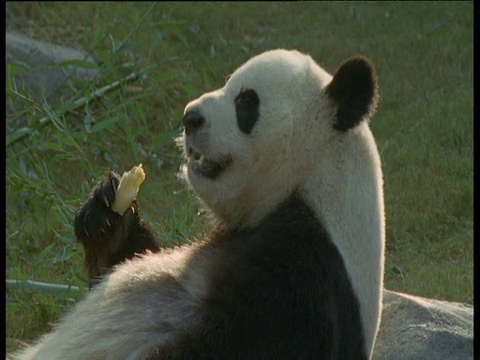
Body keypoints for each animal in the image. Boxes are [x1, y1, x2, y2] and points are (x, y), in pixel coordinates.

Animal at [12, 48, 386, 360]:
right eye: (227, 83)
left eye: (246, 102)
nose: (190, 117)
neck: (314, 182)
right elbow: (121, 263)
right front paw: (106, 217)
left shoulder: (306, 273)